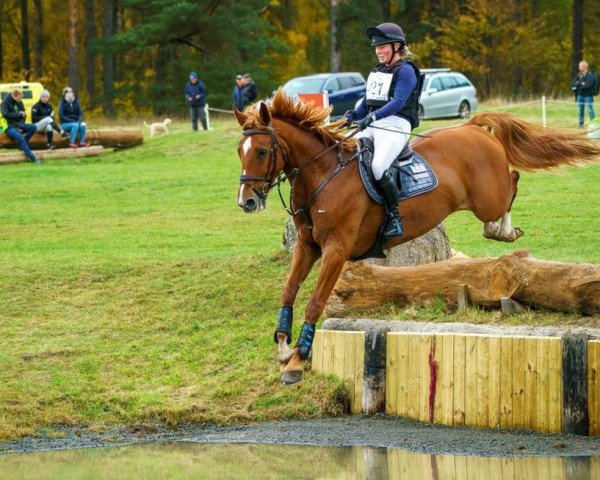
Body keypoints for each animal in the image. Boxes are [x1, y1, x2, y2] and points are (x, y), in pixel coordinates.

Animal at [233, 88, 600, 384]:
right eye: (240, 150)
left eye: (262, 151)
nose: (246, 202)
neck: (322, 175)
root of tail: (471, 126)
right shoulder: (307, 247)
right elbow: (289, 291)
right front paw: (283, 348)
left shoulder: (336, 249)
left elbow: (314, 301)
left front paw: (297, 360)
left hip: (488, 197)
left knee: (512, 181)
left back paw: (504, 229)